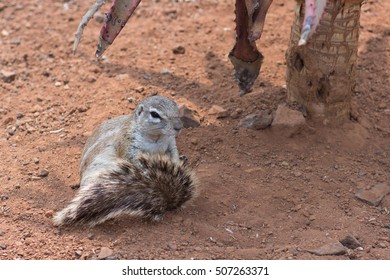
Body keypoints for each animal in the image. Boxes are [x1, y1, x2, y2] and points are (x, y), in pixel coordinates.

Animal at [53, 96, 197, 228]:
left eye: (176, 108)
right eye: (154, 114)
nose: (179, 127)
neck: (156, 138)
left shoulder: (171, 143)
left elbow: (174, 156)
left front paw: (180, 161)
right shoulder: (128, 144)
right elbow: (133, 160)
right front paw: (146, 172)